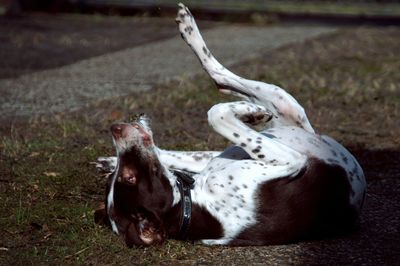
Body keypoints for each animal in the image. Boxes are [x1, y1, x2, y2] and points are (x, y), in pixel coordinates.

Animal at [94, 2, 366, 247]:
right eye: (128, 178)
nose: (115, 129)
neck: (191, 207)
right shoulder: (291, 161)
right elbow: (215, 114)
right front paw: (252, 112)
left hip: (262, 120)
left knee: (219, 86)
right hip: (281, 111)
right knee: (221, 81)